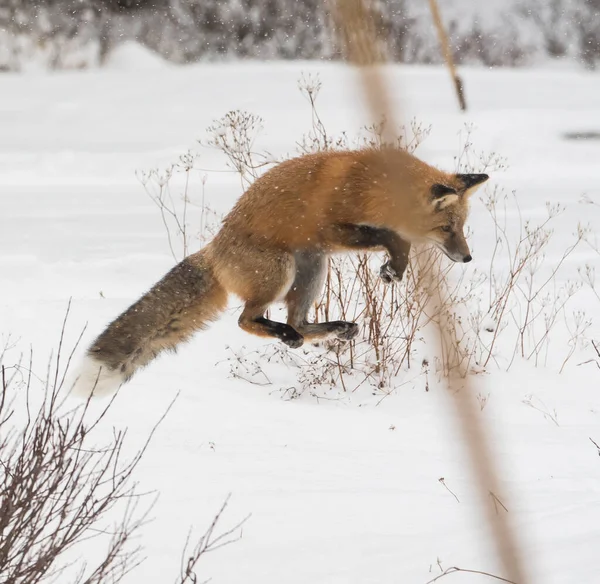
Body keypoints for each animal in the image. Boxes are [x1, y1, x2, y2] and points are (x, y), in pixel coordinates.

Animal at [72, 147, 490, 396]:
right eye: (447, 228)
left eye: (463, 227)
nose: (468, 258)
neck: (372, 188)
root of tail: (213, 251)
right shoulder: (333, 229)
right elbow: (393, 237)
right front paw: (395, 267)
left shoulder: (338, 239)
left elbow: (396, 239)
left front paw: (394, 269)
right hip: (282, 270)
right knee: (247, 320)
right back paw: (284, 334)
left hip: (312, 267)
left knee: (299, 321)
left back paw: (333, 328)